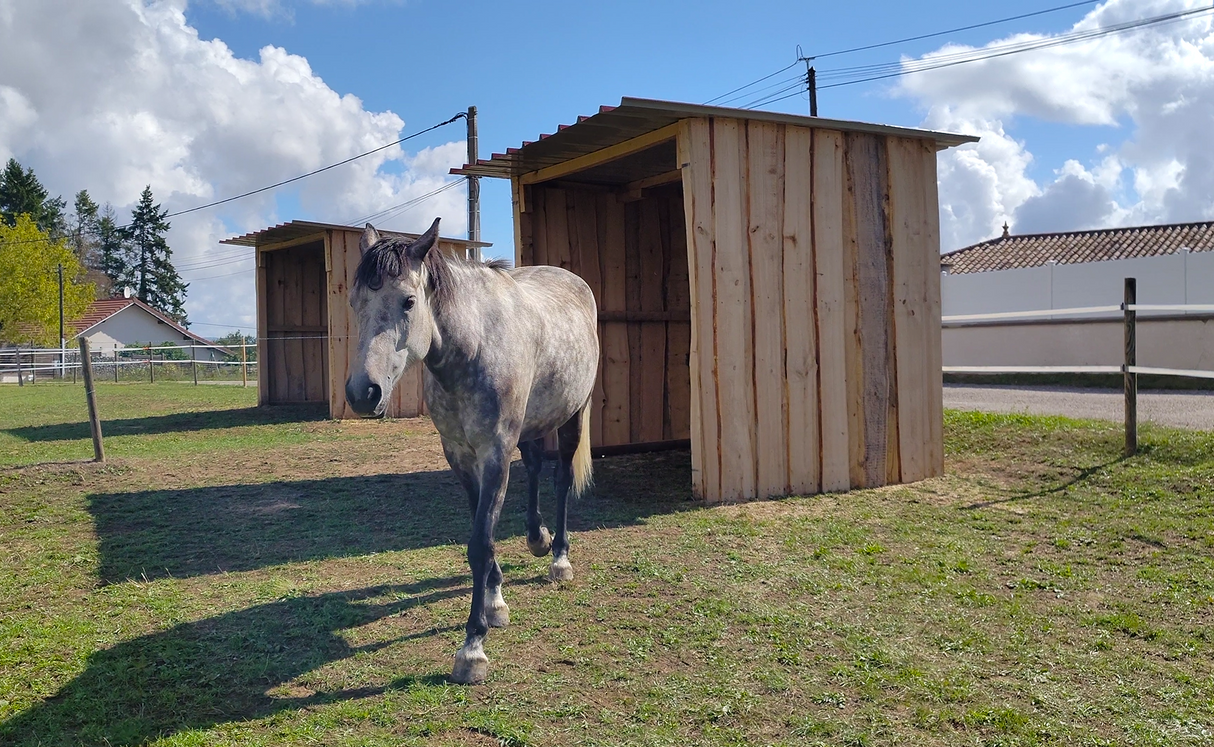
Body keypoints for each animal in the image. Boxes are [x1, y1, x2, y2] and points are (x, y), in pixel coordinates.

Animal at [344, 217, 600, 685]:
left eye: (409, 302)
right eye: (356, 301)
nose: (362, 394)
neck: (474, 346)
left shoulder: (495, 451)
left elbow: (480, 541)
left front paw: (473, 646)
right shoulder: (459, 454)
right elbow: (483, 529)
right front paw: (495, 601)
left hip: (574, 413)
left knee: (561, 479)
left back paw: (559, 558)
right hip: (530, 423)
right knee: (534, 466)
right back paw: (537, 538)